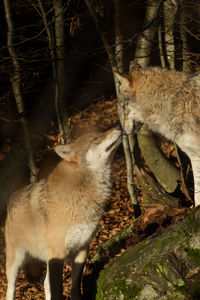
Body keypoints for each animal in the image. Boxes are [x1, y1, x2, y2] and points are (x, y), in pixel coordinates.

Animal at [4, 126, 121, 300]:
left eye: (100, 134)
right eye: (95, 139)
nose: (119, 127)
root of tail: (12, 197)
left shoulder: (82, 250)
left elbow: (75, 286)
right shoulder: (57, 256)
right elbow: (57, 291)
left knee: (45, 284)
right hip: (15, 262)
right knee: (10, 290)